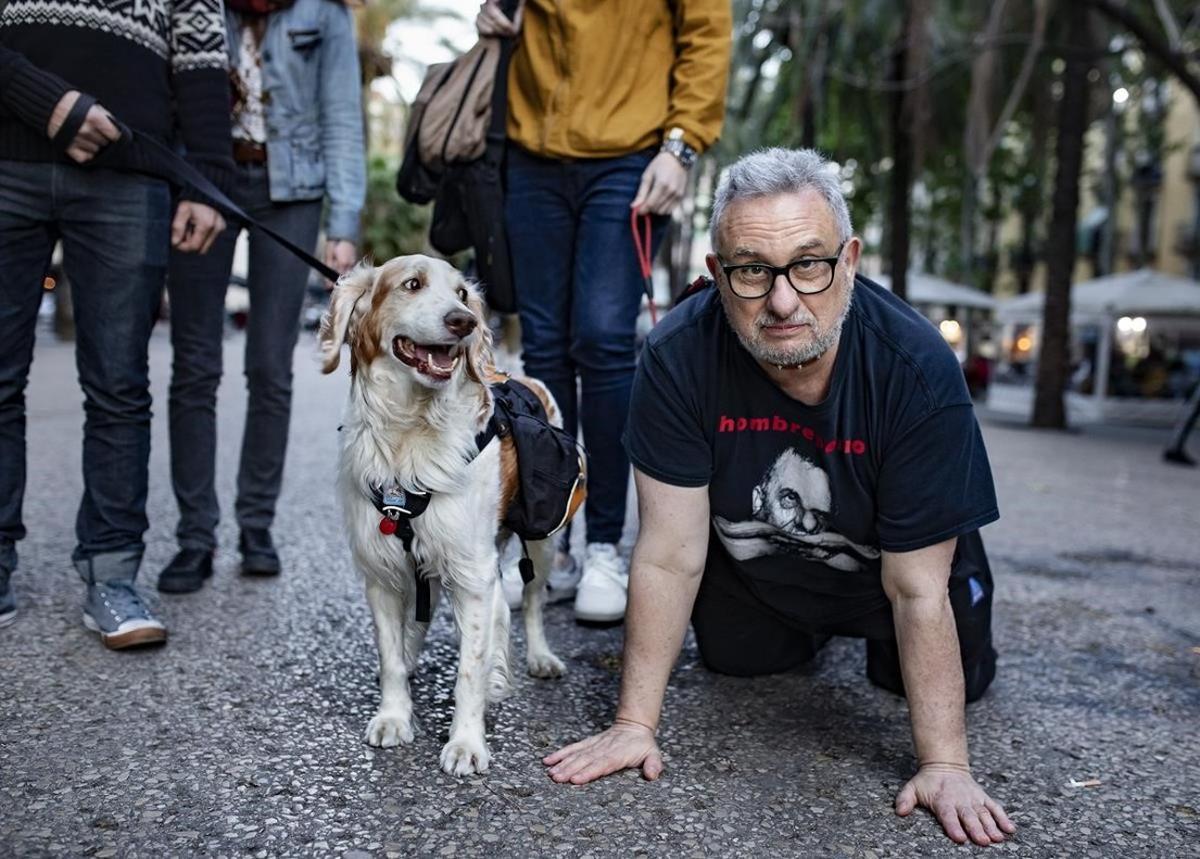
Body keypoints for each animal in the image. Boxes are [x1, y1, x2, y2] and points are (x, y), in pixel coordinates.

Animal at [321, 251, 573, 777]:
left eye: (461, 293)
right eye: (412, 285)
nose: (465, 321)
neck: (409, 434)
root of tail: (519, 374)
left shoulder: (473, 573)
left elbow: (469, 670)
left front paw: (466, 743)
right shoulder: (382, 572)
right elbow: (391, 656)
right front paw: (394, 716)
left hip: (542, 543)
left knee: (533, 602)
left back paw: (540, 657)